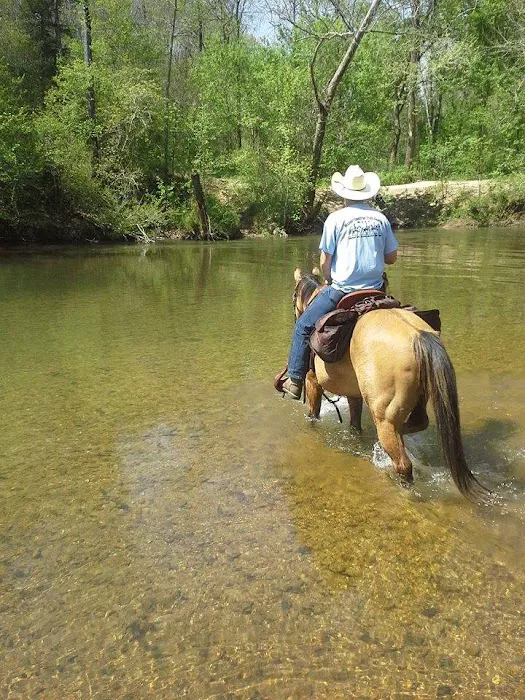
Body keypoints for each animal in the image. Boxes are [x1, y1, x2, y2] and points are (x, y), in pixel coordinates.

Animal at [292, 268, 490, 503]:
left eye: (293, 298)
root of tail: (418, 336)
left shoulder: (312, 381)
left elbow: (313, 414)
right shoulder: (355, 394)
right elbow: (355, 424)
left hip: (384, 416)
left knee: (403, 464)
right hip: (418, 398)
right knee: (418, 423)